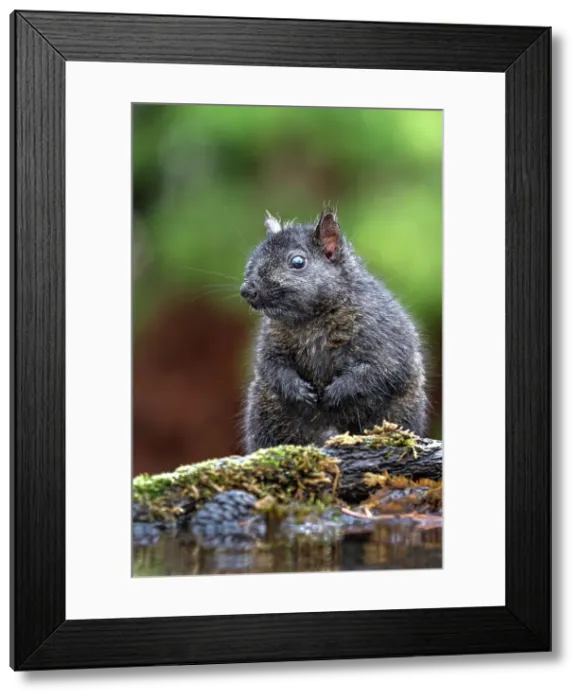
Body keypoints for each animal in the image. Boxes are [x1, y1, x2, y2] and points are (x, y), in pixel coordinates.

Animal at [240, 209, 429, 454]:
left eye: (298, 262)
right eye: (253, 257)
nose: (247, 290)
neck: (312, 317)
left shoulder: (383, 333)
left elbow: (379, 369)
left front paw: (337, 392)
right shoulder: (271, 338)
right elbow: (271, 365)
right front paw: (298, 390)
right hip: (265, 412)